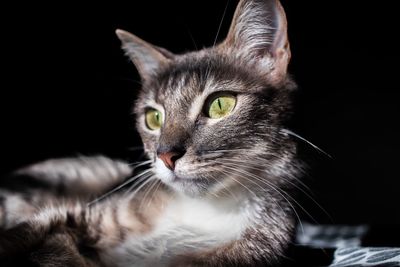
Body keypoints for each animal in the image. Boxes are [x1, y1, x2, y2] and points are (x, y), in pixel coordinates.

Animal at [0, 0, 302, 266]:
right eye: (154, 118)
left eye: (219, 104)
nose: (166, 156)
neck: (204, 211)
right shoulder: (74, 214)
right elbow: (30, 232)